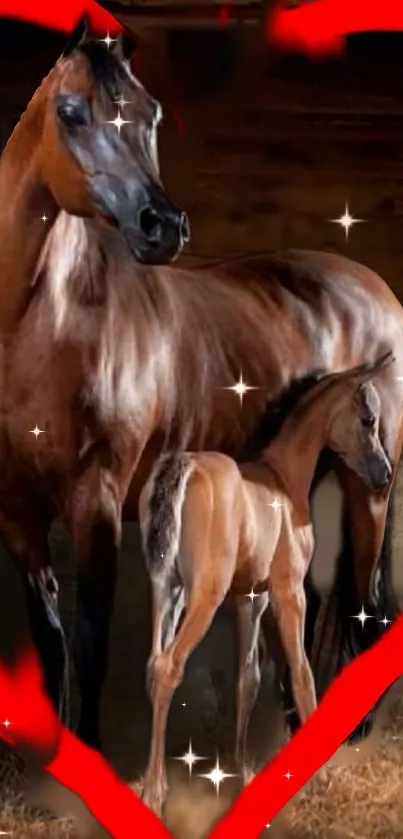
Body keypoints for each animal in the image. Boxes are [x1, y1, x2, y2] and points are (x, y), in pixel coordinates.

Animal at [2, 16, 403, 748]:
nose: (162, 227)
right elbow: (49, 644)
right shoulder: (17, 514)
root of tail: (377, 290)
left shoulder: (97, 504)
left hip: (370, 481)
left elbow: (90, 643)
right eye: (71, 112)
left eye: (152, 113)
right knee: (318, 597)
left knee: (364, 599)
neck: (46, 322)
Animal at [139, 352, 394, 812]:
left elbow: (248, 679)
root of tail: (183, 465)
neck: (282, 477)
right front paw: (319, 778)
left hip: (166, 590)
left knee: (154, 665)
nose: (384, 474)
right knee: (168, 668)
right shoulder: (288, 593)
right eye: (368, 419)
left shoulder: (250, 598)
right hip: (204, 596)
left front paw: (241, 771)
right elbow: (302, 672)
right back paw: (154, 792)